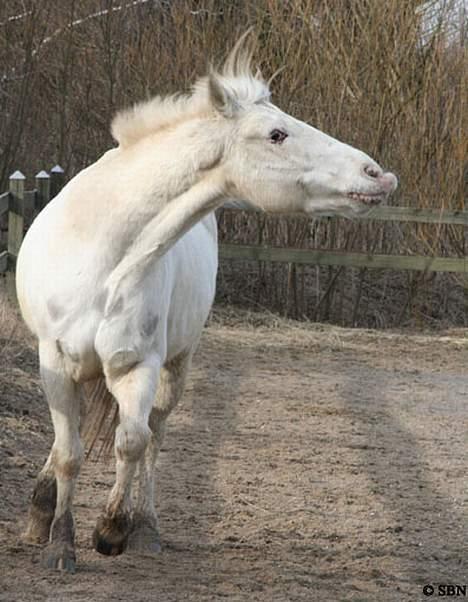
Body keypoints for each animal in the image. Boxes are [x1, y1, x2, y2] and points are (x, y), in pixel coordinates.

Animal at [15, 35, 394, 568]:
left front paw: (112, 530)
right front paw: (60, 545)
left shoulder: (138, 365)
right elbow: (70, 452)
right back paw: (42, 512)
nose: (376, 174)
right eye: (277, 134)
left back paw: (146, 529)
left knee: (155, 434)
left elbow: (132, 442)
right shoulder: (55, 360)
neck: (103, 256)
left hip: (176, 365)